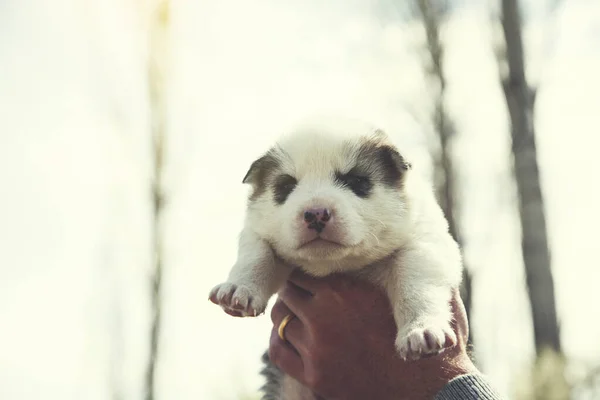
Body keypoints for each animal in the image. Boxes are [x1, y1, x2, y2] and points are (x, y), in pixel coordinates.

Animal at [209, 115, 462, 362]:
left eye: (356, 181)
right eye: (288, 186)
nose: (315, 213)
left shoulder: (424, 242)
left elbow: (414, 282)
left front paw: (421, 329)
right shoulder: (256, 231)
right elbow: (256, 255)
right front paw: (238, 288)